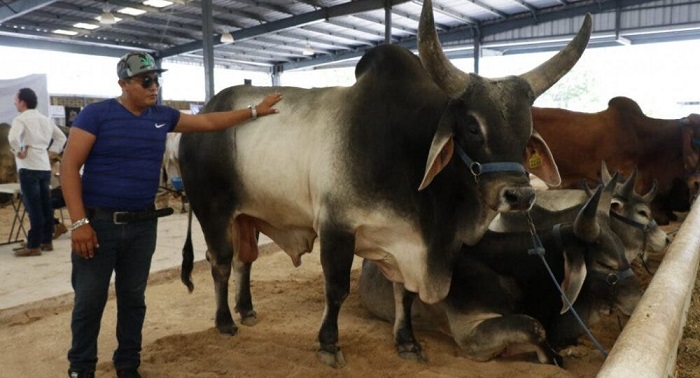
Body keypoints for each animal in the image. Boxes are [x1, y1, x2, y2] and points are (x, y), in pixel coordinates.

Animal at [179, 0, 592, 366]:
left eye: (526, 131)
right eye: (473, 126)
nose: (519, 195)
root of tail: (207, 111)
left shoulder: (404, 243)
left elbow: (404, 295)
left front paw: (407, 342)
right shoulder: (336, 228)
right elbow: (336, 289)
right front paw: (329, 345)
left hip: (247, 216)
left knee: (244, 261)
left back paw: (246, 310)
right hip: (212, 210)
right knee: (220, 262)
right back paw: (225, 322)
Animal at [358, 179, 644, 364]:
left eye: (623, 255)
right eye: (606, 264)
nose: (640, 297)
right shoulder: (470, 332)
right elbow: (533, 327)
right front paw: (551, 357)